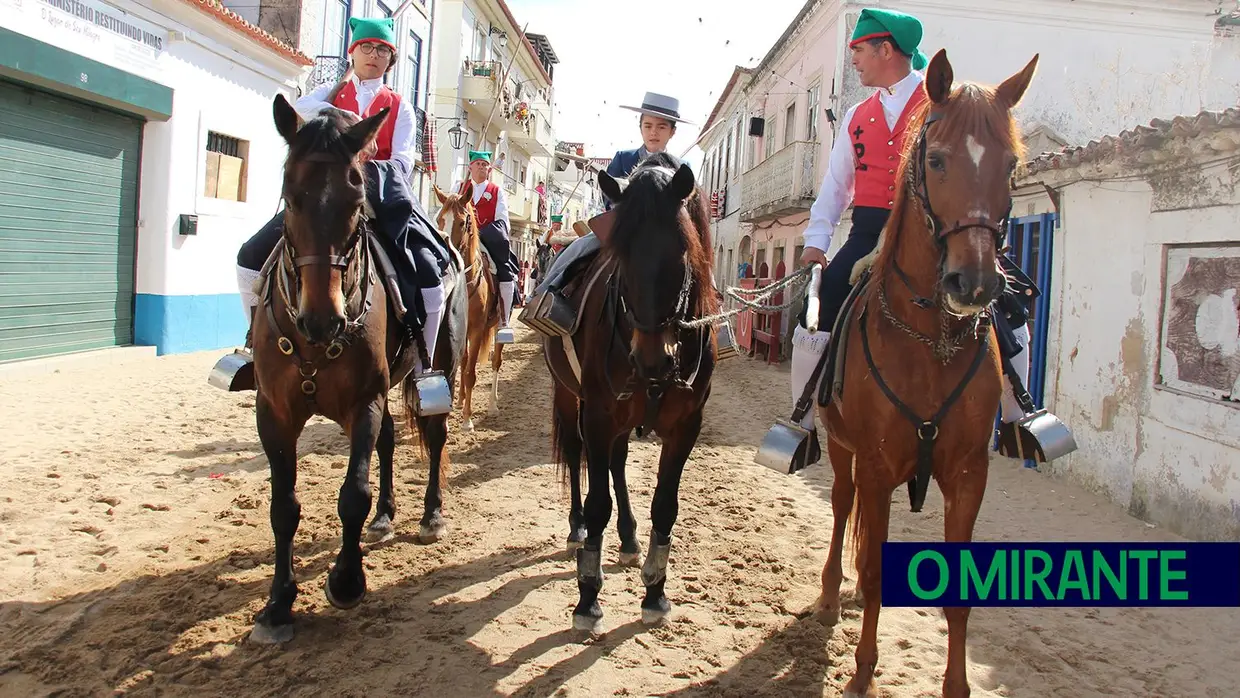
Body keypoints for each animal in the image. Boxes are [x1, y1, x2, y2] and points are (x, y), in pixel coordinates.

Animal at [249, 95, 466, 649]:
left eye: (355, 201)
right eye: (290, 196)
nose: (322, 320)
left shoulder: (362, 402)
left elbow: (353, 495)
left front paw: (347, 581)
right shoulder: (273, 413)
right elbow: (283, 506)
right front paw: (278, 604)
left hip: (441, 367)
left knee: (435, 437)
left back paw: (431, 514)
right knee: (389, 441)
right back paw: (387, 516)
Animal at [431, 188, 498, 433]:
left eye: (461, 222)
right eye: (440, 220)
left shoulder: (477, 330)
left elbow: (470, 373)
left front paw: (467, 420)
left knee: (496, 362)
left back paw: (492, 405)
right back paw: (459, 400)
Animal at [540, 154, 724, 634]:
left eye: (681, 251)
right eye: (619, 255)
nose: (652, 359)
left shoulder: (685, 427)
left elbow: (665, 507)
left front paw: (656, 592)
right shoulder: (598, 416)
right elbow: (597, 501)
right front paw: (588, 597)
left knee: (619, 464)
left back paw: (627, 538)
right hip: (569, 398)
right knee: (575, 454)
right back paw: (577, 528)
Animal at [813, 50, 1036, 698]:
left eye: (1012, 165)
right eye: (935, 159)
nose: (976, 283)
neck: (930, 341)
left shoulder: (968, 475)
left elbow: (959, 597)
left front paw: (956, 686)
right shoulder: (877, 466)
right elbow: (875, 570)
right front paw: (863, 673)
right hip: (843, 450)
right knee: (841, 508)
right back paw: (831, 596)